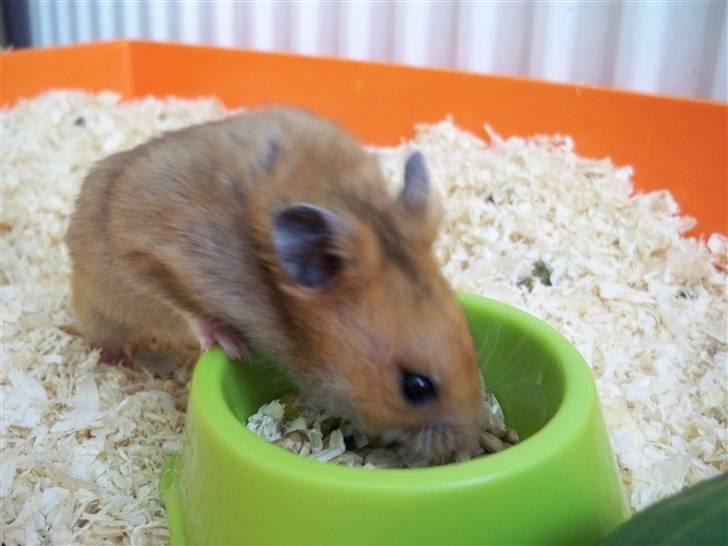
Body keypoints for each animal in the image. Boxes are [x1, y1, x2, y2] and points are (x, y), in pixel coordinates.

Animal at [65, 107, 485, 463]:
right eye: (416, 387)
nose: (464, 449)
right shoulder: (149, 254)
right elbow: (187, 308)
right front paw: (234, 347)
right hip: (101, 304)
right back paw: (116, 362)